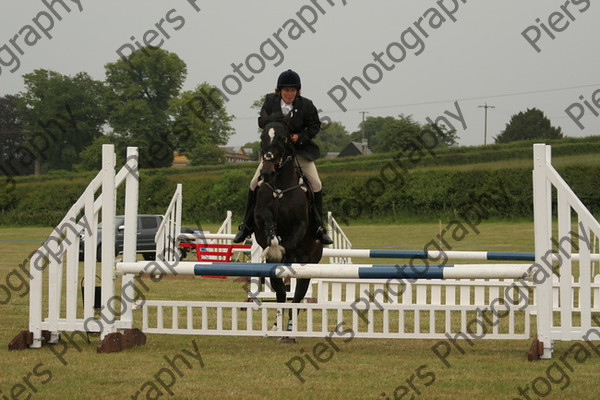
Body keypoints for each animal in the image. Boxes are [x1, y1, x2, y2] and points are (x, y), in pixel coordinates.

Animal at [253, 111, 324, 336]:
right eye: (262, 137)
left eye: (284, 138)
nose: (266, 173)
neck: (280, 187)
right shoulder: (261, 215)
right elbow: (269, 229)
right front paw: (274, 247)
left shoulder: (300, 225)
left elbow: (289, 243)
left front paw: (280, 251)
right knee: (281, 293)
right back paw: (277, 328)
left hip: (310, 264)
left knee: (298, 296)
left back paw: (290, 332)